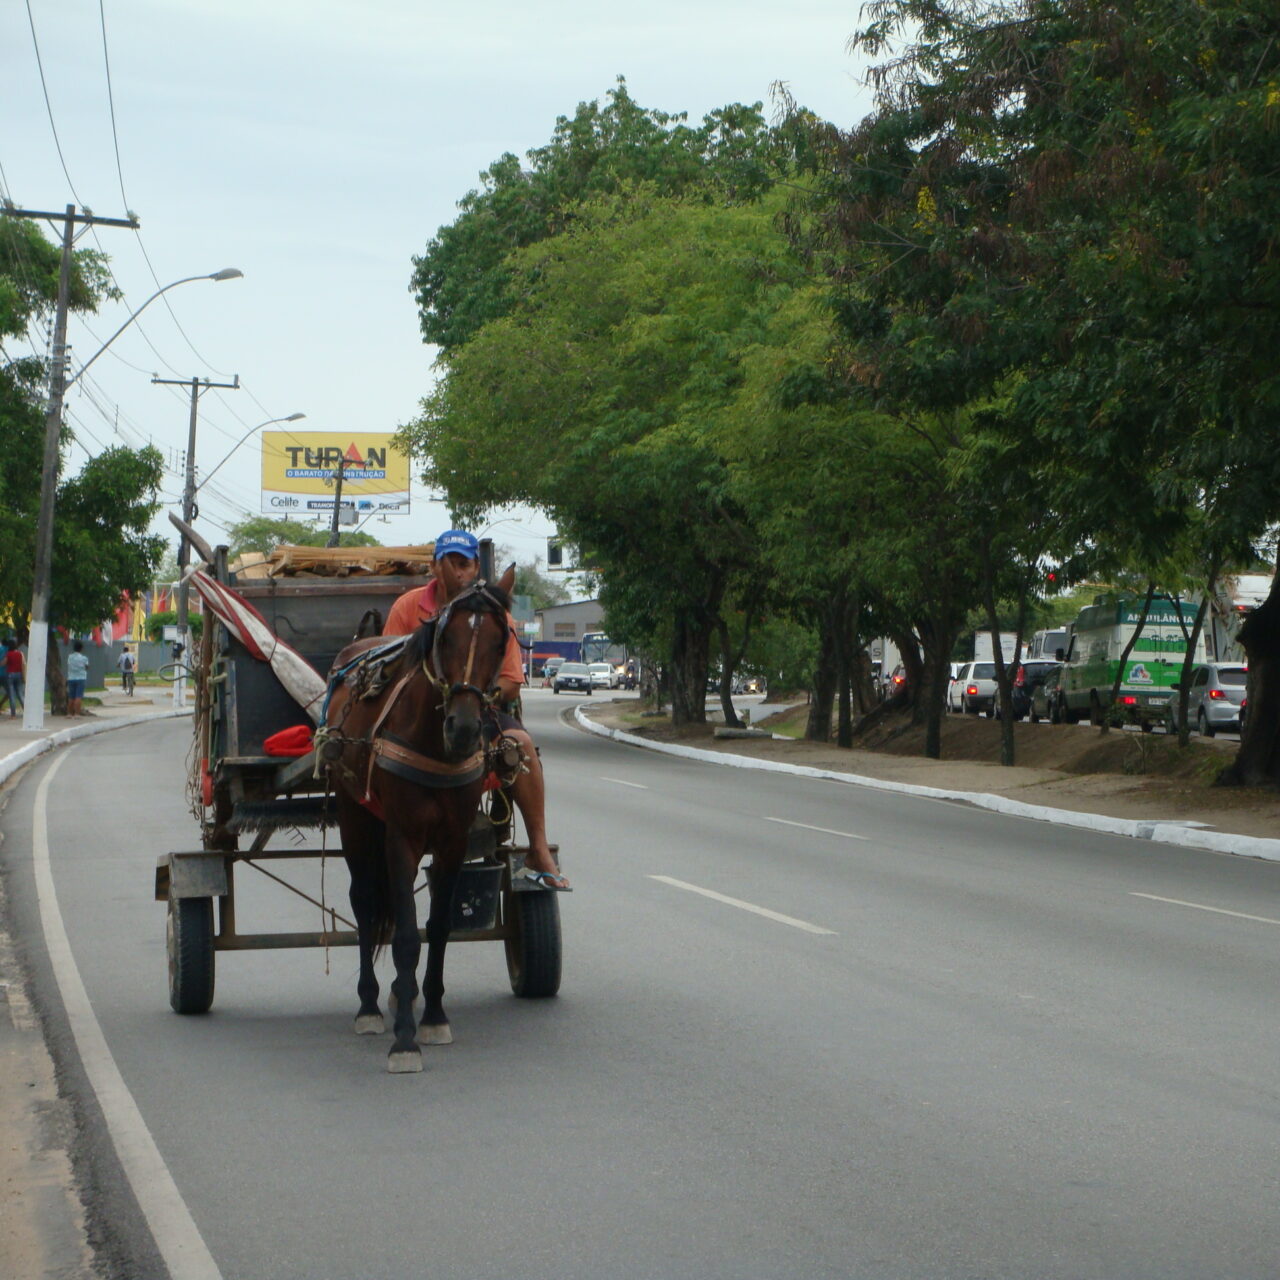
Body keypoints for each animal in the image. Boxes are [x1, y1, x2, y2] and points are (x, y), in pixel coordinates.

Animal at [320, 570, 514, 1070]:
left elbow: (440, 929)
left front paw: (433, 1017)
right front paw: (405, 1039)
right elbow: (407, 936)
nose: (463, 729)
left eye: (501, 639)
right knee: (364, 901)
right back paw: (370, 1005)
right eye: (444, 637)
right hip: (355, 816)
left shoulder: (452, 842)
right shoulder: (401, 838)